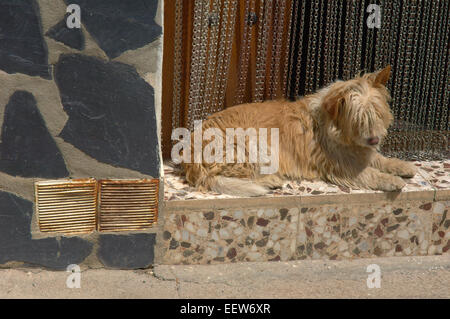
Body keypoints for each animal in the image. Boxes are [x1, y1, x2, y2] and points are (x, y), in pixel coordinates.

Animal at [178, 66, 416, 198]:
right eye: (358, 119)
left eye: (378, 113)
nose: (374, 139)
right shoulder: (343, 166)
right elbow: (369, 173)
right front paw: (392, 180)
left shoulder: (359, 152)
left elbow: (379, 159)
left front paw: (401, 165)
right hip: (253, 144)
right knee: (221, 177)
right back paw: (268, 181)